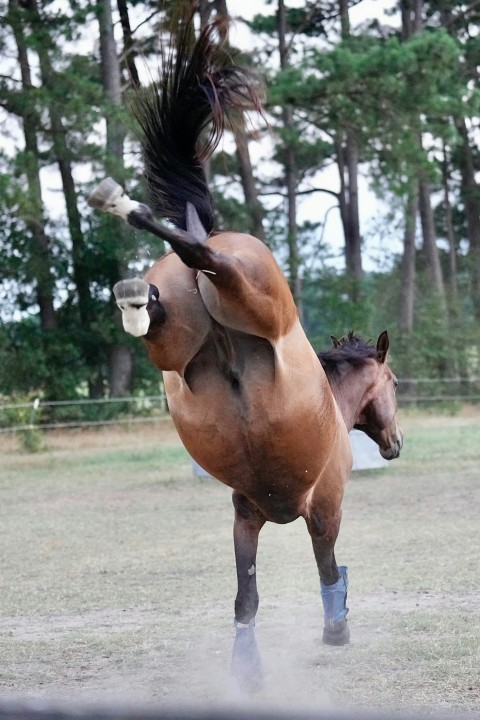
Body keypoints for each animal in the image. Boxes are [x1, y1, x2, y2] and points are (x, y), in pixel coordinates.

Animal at [88, 15, 403, 691]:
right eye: (395, 386)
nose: (395, 445)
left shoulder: (244, 517)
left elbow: (246, 598)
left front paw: (248, 671)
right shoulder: (325, 508)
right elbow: (327, 570)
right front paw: (336, 628)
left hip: (172, 347)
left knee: (171, 285)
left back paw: (133, 275)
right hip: (255, 295)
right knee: (210, 258)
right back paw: (129, 213)